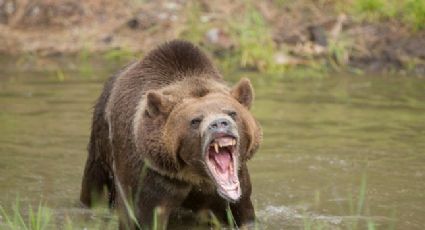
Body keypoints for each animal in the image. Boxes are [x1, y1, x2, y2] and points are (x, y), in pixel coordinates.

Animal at [78, 40, 260, 229]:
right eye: (195, 120)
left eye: (232, 113)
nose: (219, 123)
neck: (193, 174)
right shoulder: (152, 177)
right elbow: (145, 216)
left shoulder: (234, 185)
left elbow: (242, 212)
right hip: (102, 143)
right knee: (95, 186)